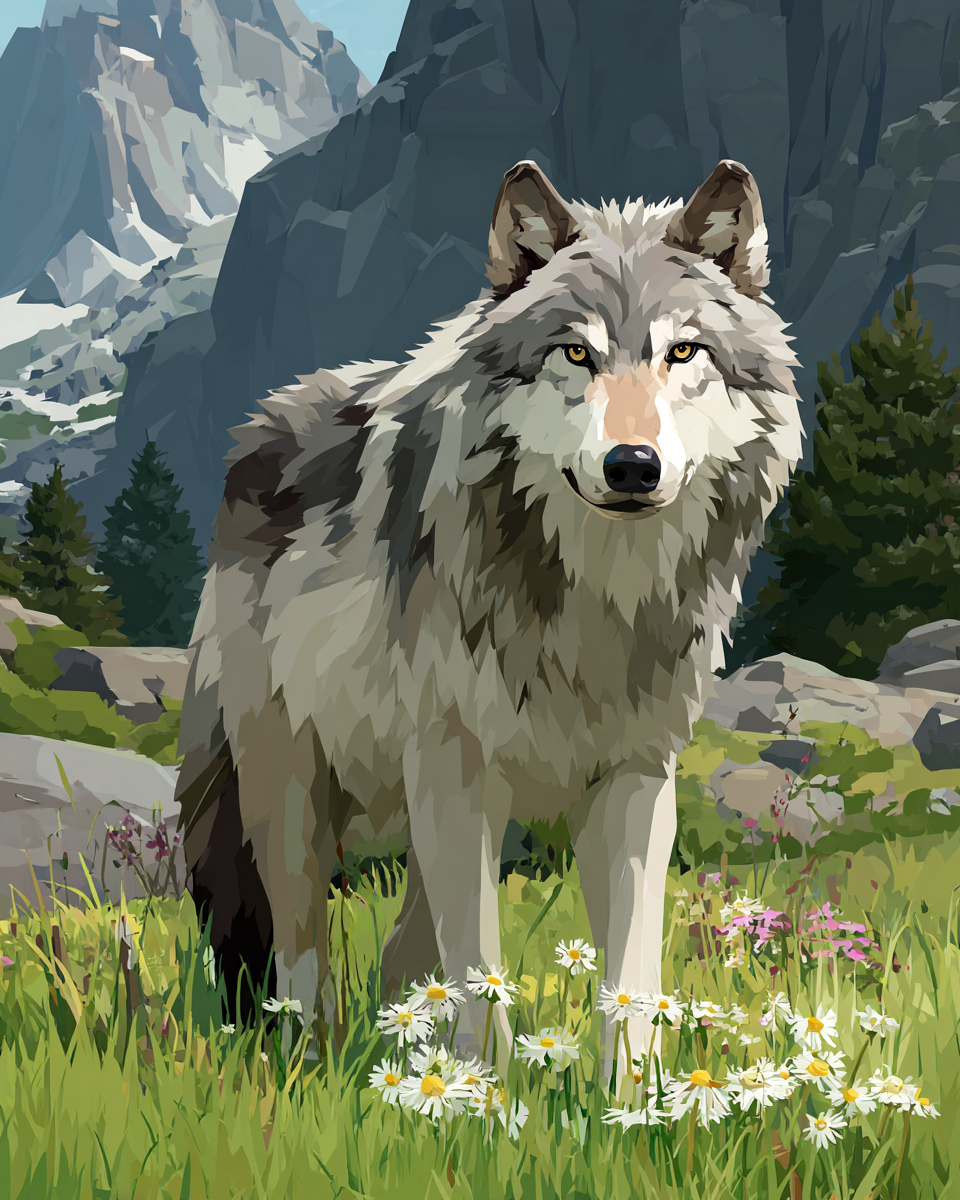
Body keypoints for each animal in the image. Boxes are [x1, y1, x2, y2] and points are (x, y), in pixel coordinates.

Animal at [174, 157, 802, 1067]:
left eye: (682, 351)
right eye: (575, 352)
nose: (633, 465)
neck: (594, 603)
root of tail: (262, 424)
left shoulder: (637, 778)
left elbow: (629, 976)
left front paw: (630, 1095)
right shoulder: (454, 769)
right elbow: (477, 968)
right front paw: (482, 1091)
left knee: (403, 952)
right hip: (292, 793)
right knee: (300, 957)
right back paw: (305, 1065)